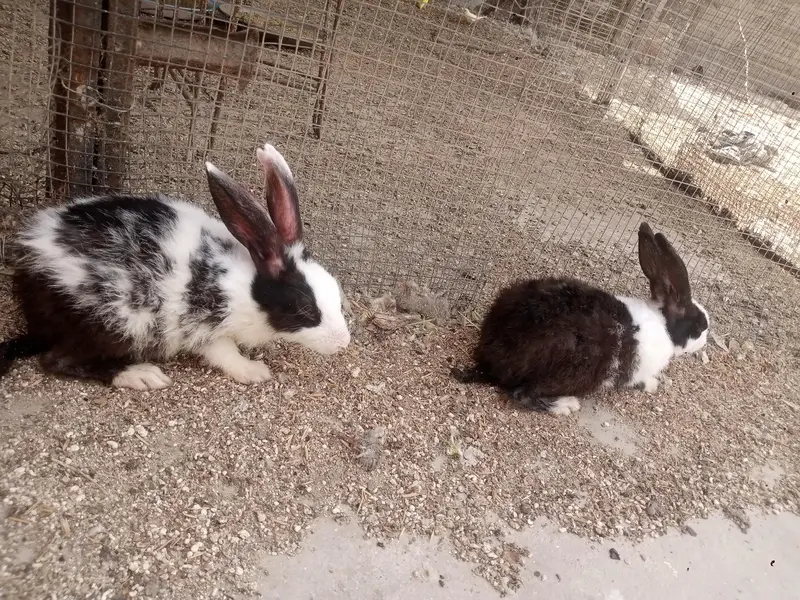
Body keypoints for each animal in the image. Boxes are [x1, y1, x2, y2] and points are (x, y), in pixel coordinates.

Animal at [0, 143, 351, 390]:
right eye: (304, 309)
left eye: (336, 294)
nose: (343, 342)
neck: (248, 286)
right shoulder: (204, 326)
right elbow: (224, 353)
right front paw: (254, 371)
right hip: (109, 325)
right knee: (55, 360)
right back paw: (140, 375)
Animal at [451, 223, 709, 416]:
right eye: (700, 325)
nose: (705, 340)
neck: (665, 325)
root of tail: (491, 360)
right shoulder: (635, 371)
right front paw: (654, 385)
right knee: (522, 394)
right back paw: (564, 405)